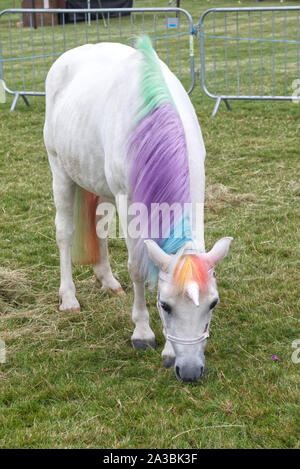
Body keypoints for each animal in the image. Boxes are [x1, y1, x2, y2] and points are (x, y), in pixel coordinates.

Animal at [44, 36, 232, 380]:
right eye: (165, 305)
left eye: (212, 304)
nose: (190, 371)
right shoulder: (128, 202)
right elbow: (138, 268)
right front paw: (143, 333)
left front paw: (169, 350)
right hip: (60, 172)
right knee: (64, 232)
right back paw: (69, 298)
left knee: (99, 225)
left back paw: (108, 281)